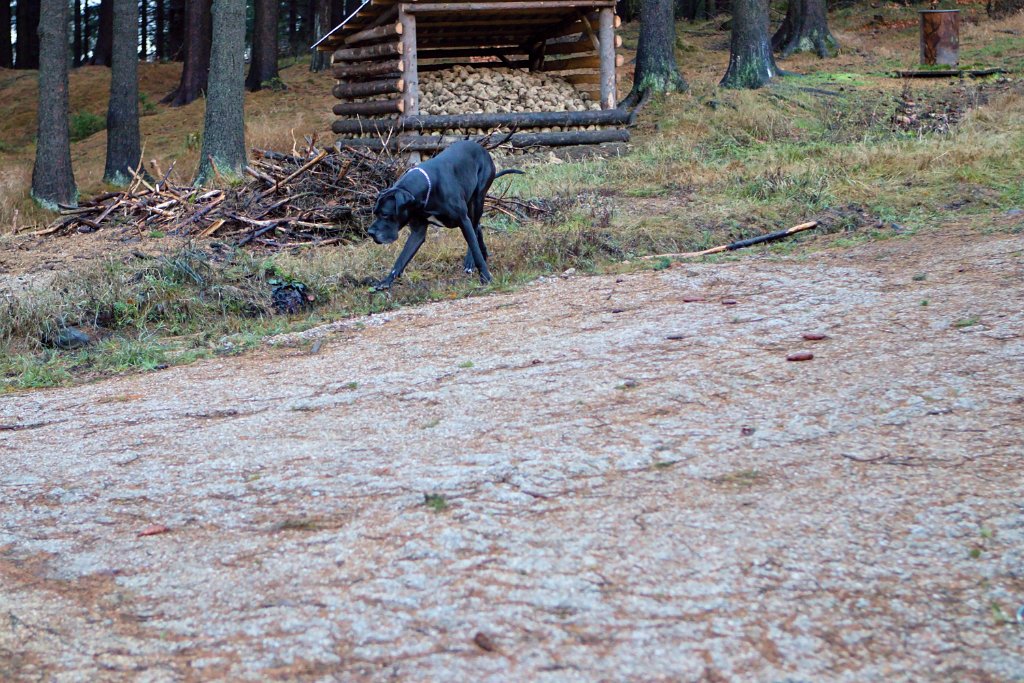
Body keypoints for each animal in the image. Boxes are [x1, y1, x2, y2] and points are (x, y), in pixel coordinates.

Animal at [368, 140, 524, 286]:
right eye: (375, 213)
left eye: (385, 214)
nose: (370, 232)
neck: (426, 191)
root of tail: (483, 149)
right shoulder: (418, 232)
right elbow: (401, 259)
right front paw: (386, 281)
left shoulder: (463, 220)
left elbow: (474, 246)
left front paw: (485, 276)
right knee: (478, 226)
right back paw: (483, 252)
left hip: (478, 200)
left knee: (474, 228)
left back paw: (470, 261)